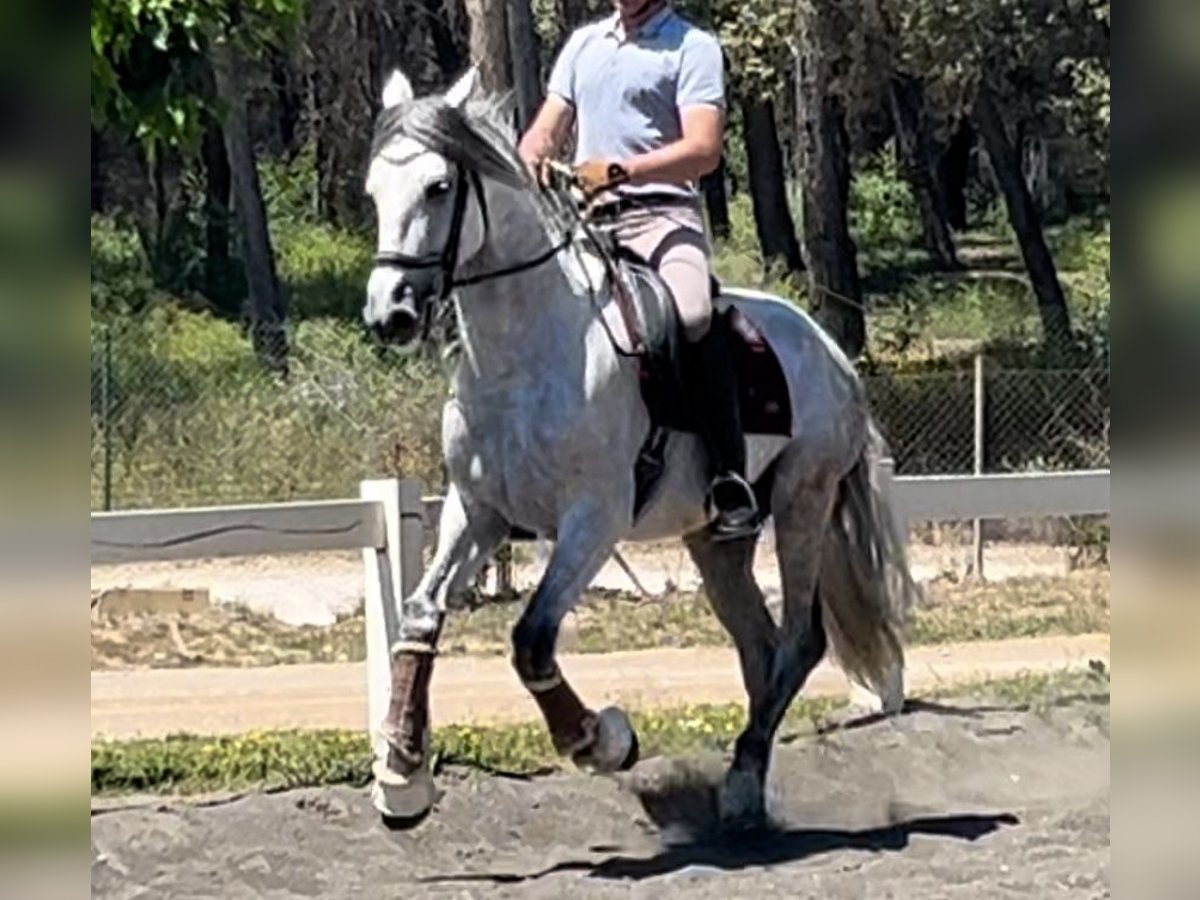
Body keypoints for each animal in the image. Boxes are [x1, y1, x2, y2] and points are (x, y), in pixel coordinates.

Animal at [360, 65, 912, 840]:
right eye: (374, 190)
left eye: (440, 187)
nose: (391, 313)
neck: (526, 355)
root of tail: (832, 352)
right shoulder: (478, 511)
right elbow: (419, 617)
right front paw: (403, 777)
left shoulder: (593, 520)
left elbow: (532, 638)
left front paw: (604, 741)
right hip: (716, 542)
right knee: (759, 647)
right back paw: (745, 786)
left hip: (803, 503)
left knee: (800, 643)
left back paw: (739, 786)